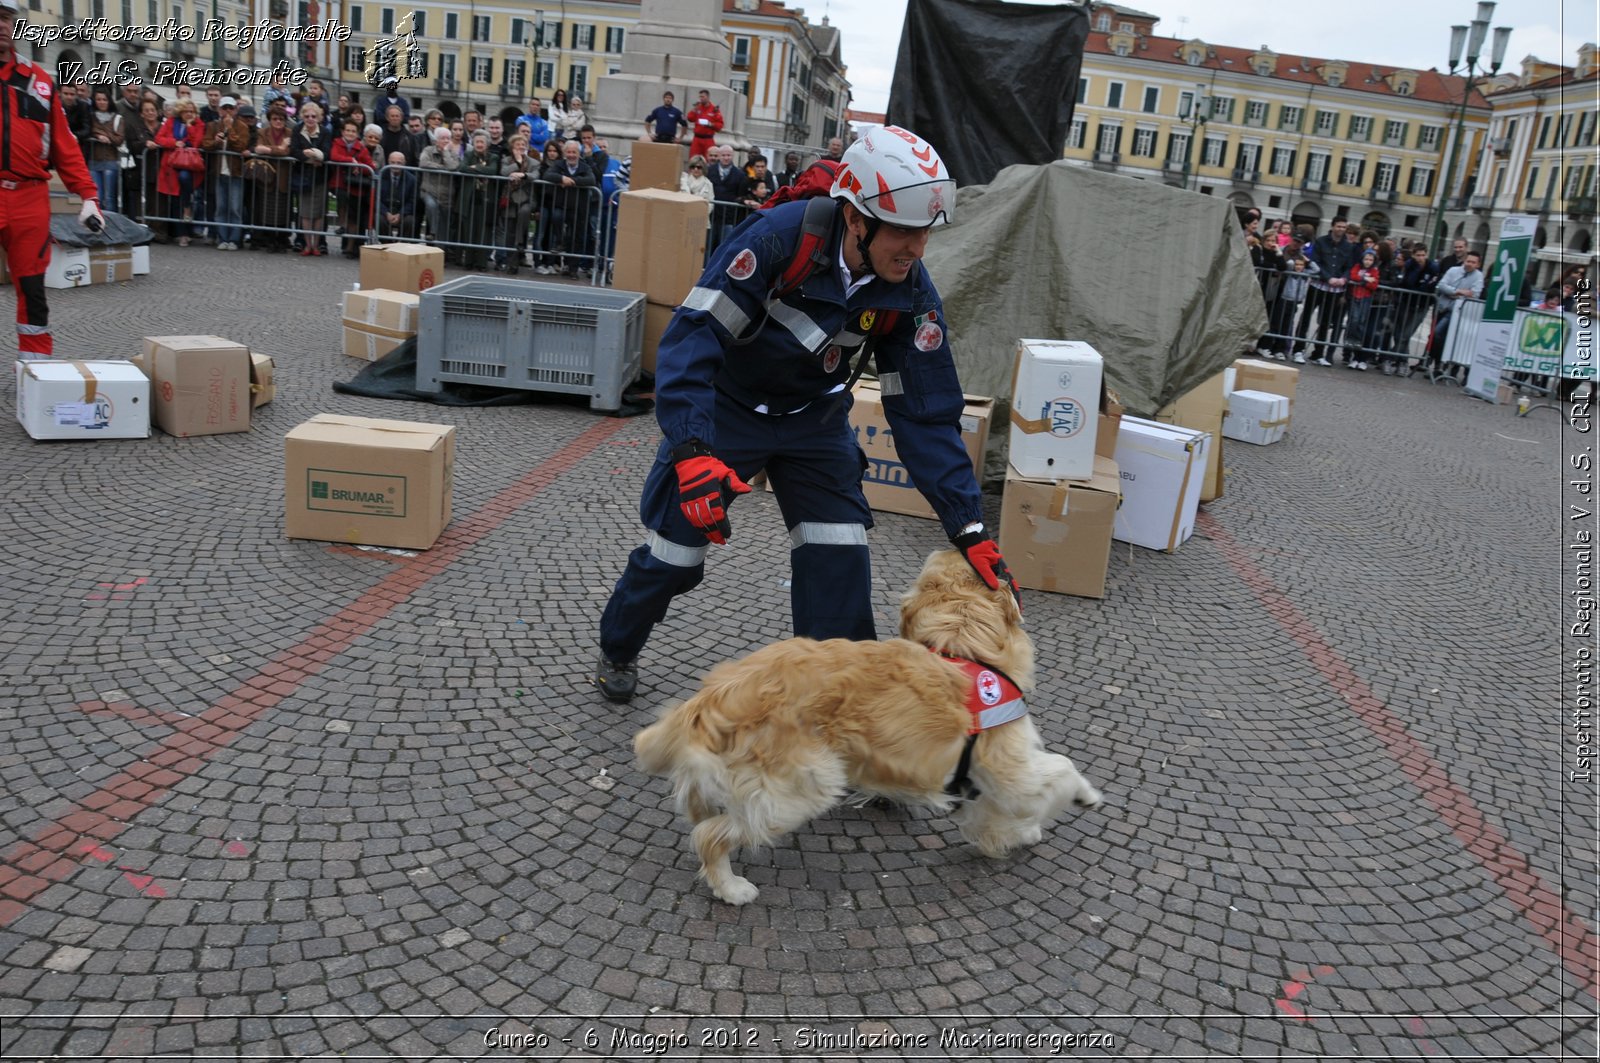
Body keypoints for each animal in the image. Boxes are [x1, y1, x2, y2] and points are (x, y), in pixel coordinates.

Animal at [633, 547, 1100, 902]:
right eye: (995, 567)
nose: (967, 545)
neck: (962, 641)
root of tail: (713, 697)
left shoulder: (981, 785)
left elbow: (996, 816)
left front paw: (1023, 831)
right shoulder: (1009, 767)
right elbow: (1061, 767)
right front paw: (1083, 796)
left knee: (702, 814)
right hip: (801, 788)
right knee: (711, 836)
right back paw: (731, 888)